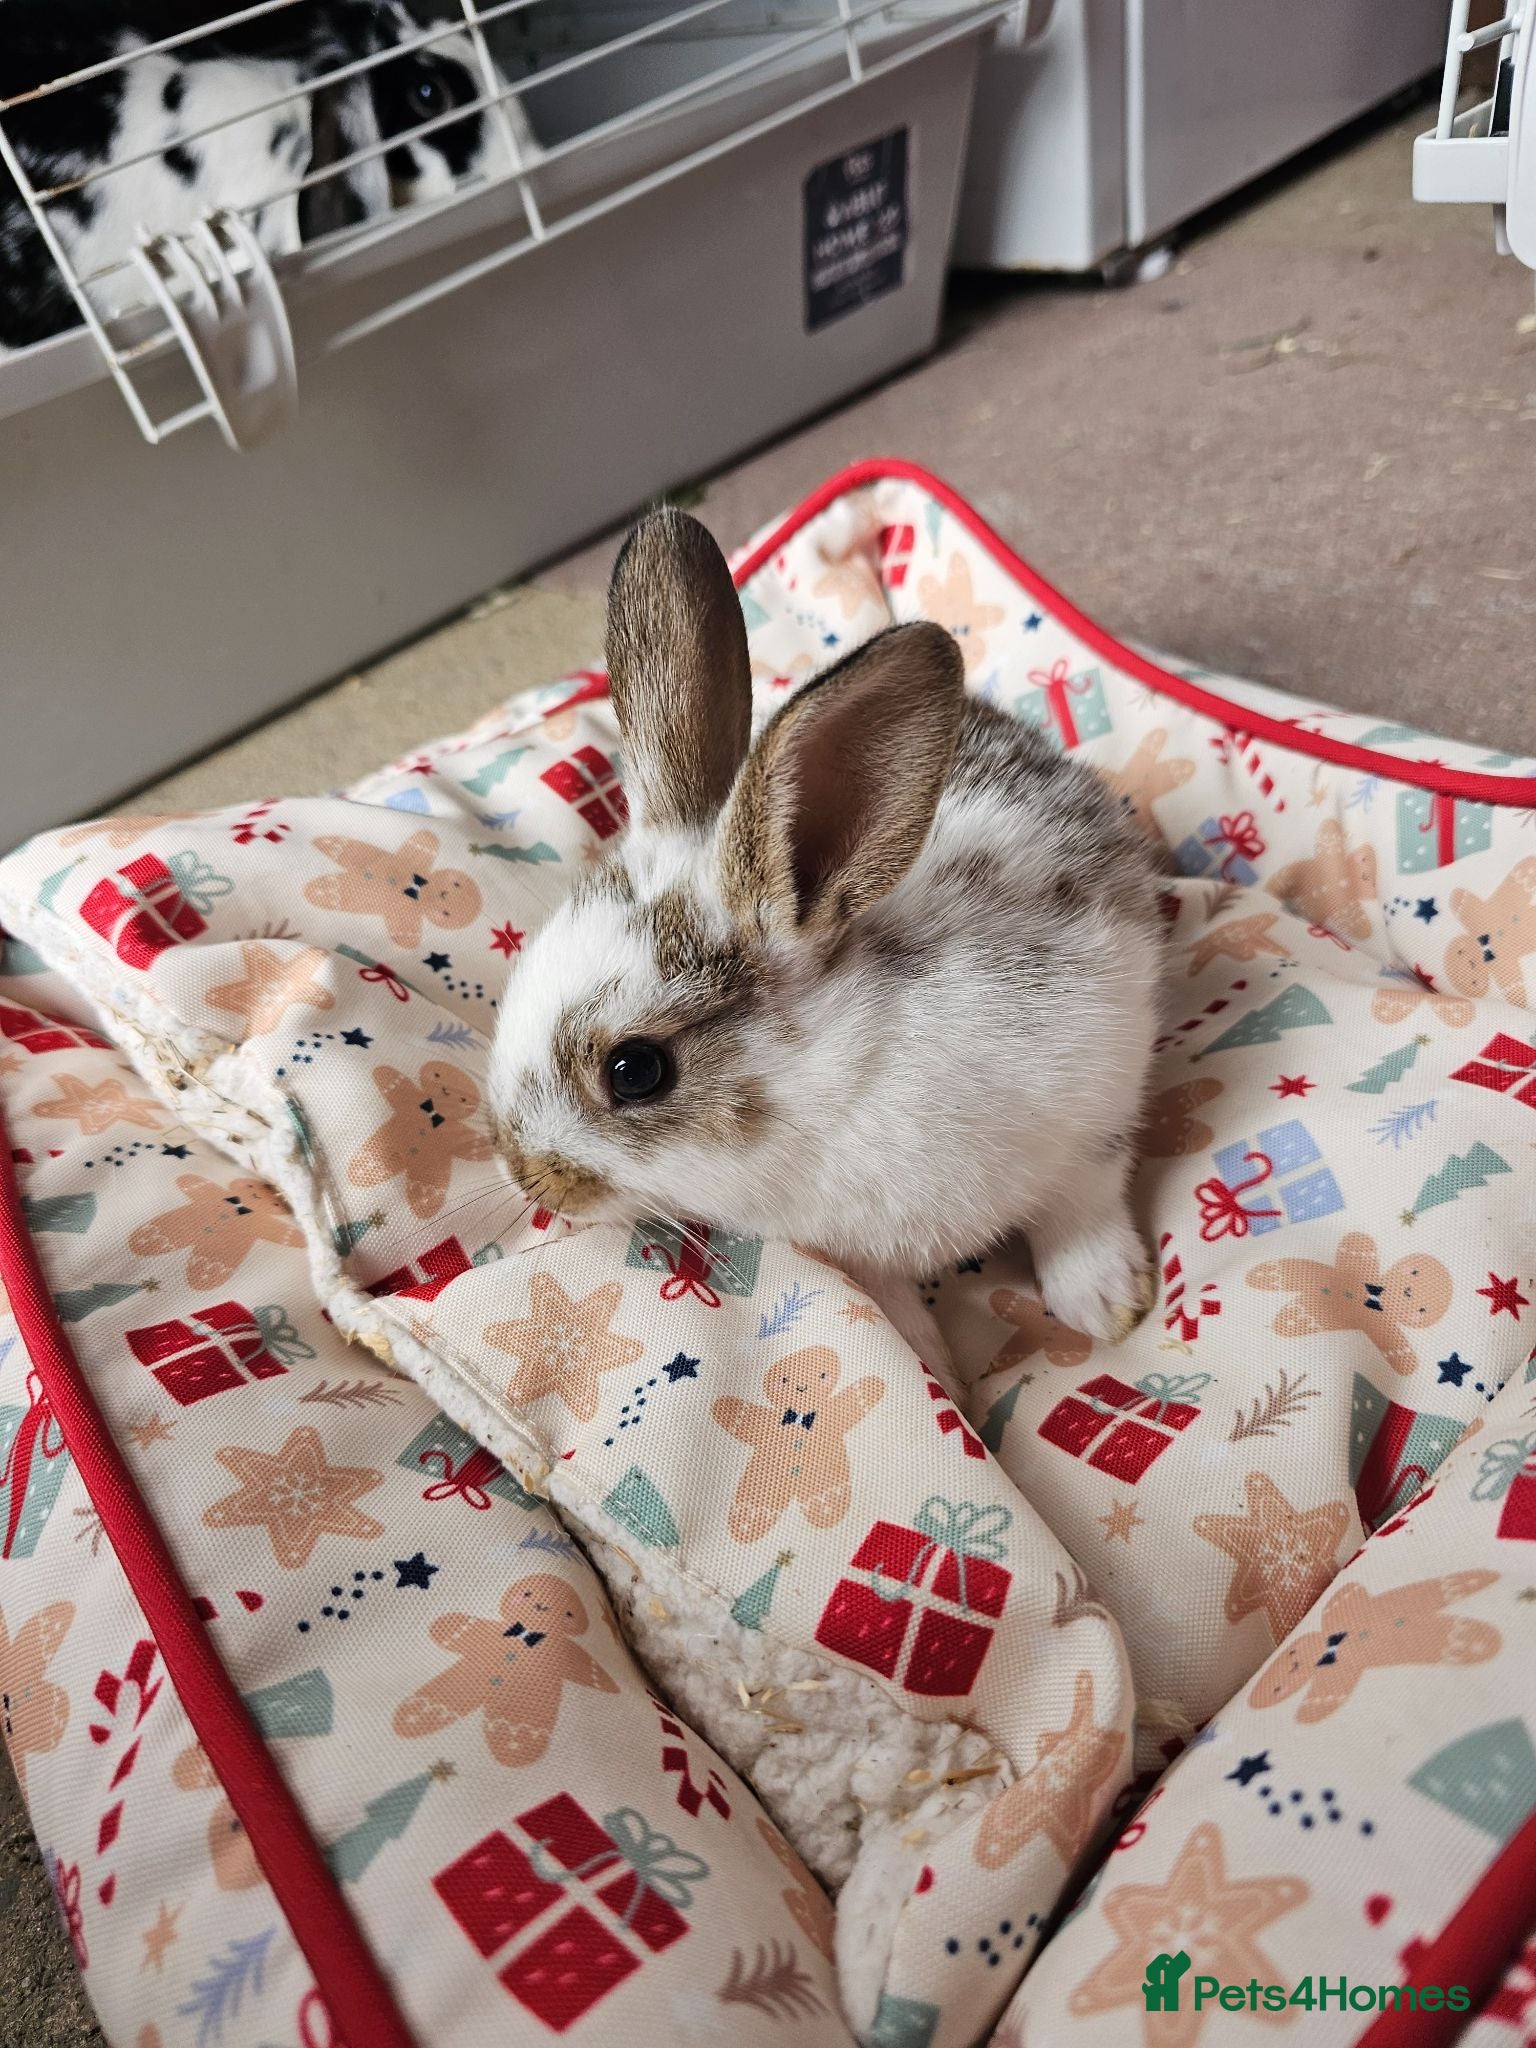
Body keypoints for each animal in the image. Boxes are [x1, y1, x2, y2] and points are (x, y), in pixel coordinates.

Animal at [487, 507, 1165, 1378]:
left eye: (636, 1071)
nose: (524, 1175)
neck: (839, 1082)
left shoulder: (1096, 1107)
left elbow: (1082, 1207)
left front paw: (1107, 1305)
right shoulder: (855, 1252)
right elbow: (894, 1308)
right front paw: (934, 1374)